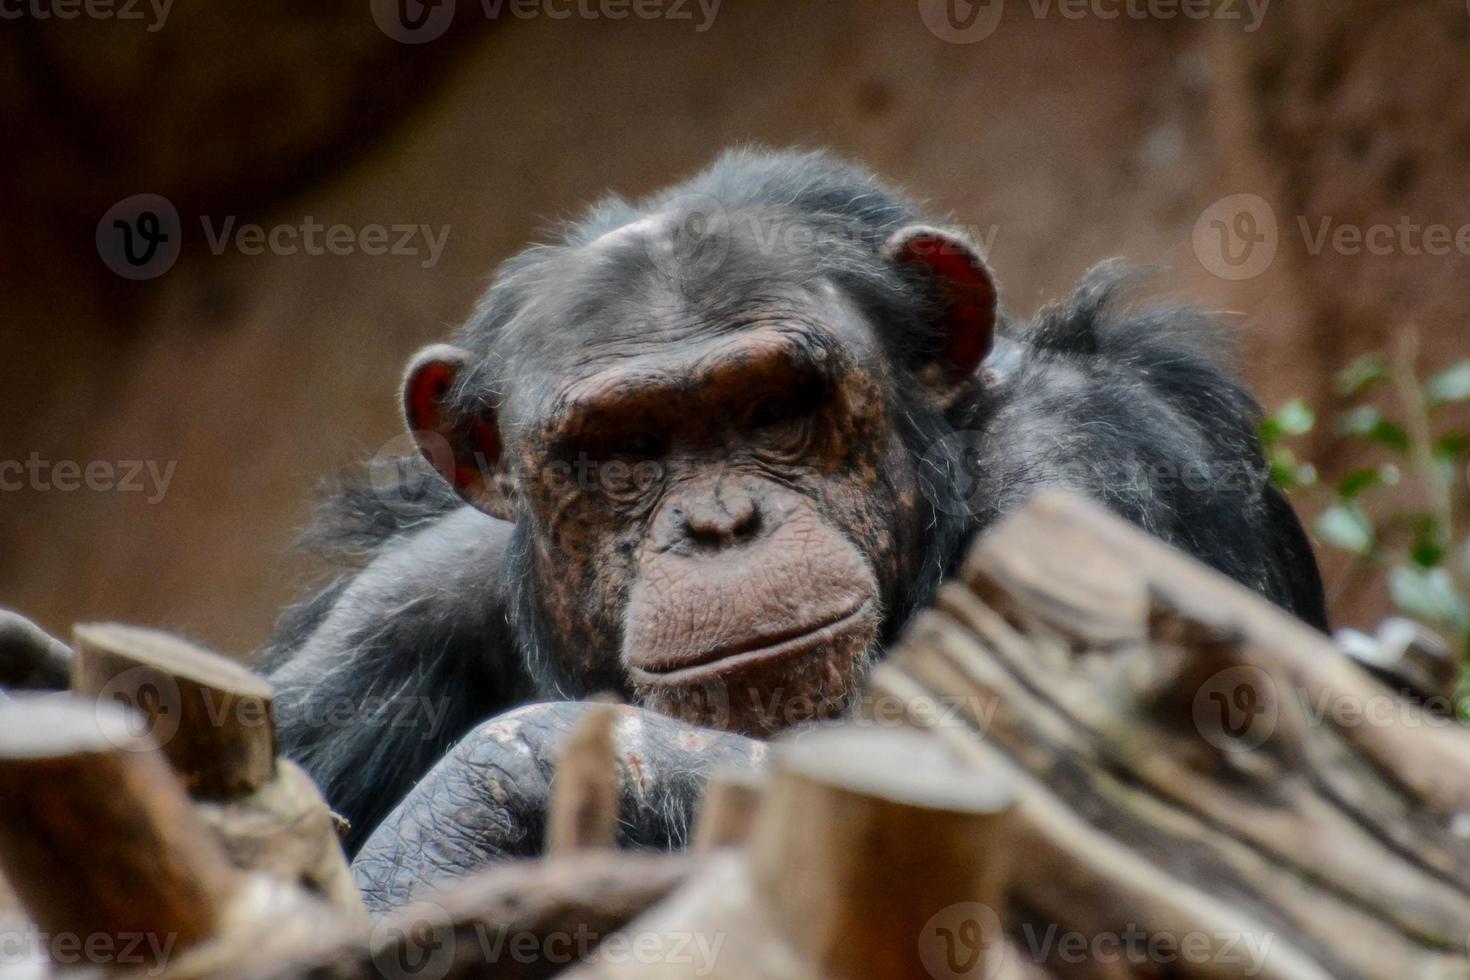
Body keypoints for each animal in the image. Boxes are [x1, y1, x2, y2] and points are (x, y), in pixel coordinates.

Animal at [246, 145, 1328, 905]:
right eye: (625, 447)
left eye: (774, 410)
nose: (723, 522)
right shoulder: (389, 618)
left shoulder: (1094, 464)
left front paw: (469, 801)